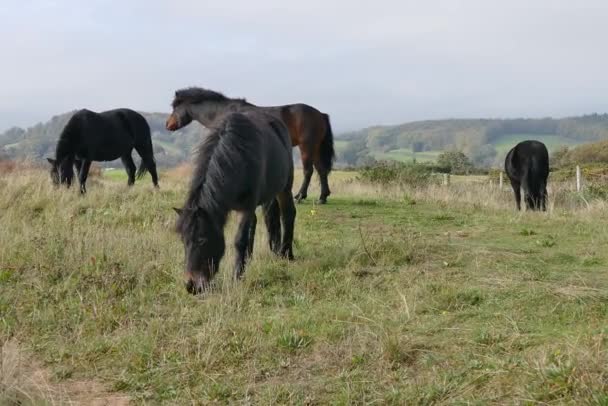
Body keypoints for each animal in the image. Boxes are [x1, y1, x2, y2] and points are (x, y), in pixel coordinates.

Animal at [166, 87, 334, 205]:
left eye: (175, 107)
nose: (167, 124)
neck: (223, 112)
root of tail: (320, 114)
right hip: (315, 148)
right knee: (321, 170)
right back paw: (322, 197)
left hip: (307, 147)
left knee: (308, 171)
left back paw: (300, 196)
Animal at [172, 108, 296, 294]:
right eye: (183, 241)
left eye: (202, 240)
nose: (191, 286)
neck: (238, 157)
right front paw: (243, 268)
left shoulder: (248, 206)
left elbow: (239, 240)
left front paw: (236, 276)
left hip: (285, 188)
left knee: (288, 214)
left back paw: (286, 253)